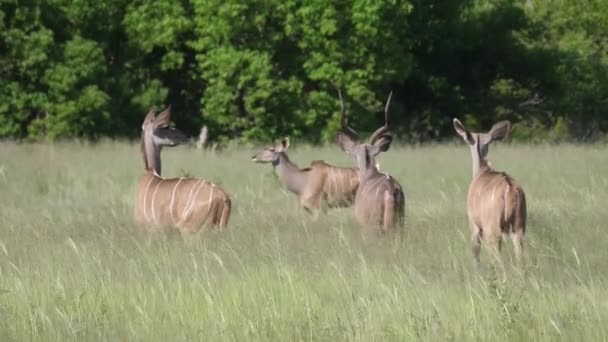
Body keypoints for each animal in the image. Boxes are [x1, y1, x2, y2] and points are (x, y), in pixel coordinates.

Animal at [134, 107, 232, 240]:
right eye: (165, 127)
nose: (186, 136)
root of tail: (224, 198)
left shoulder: (147, 230)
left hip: (192, 231)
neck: (150, 172)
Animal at [454, 119, 524, 272]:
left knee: (497, 258)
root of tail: (510, 190)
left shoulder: (474, 223)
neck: (481, 171)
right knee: (521, 256)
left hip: (492, 229)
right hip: (519, 226)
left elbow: (475, 250)